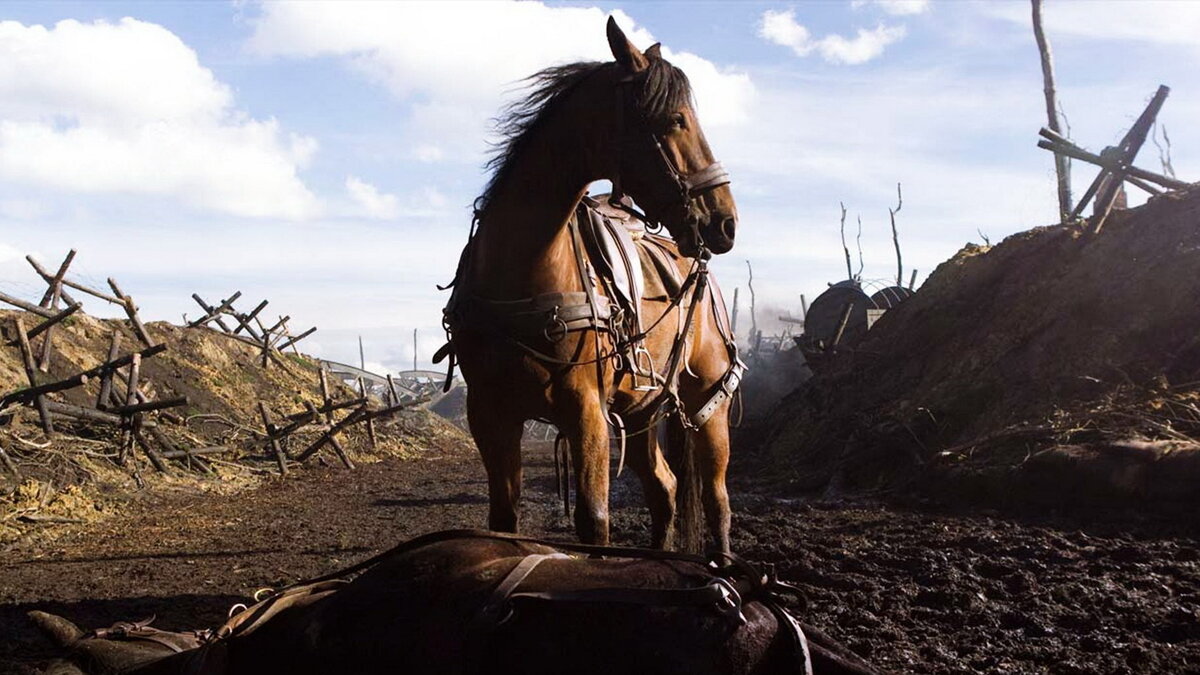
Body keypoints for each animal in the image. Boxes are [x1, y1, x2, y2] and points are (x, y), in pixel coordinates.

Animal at [439, 18, 739, 550]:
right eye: (675, 119)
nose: (724, 221)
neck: (521, 273)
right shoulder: (490, 412)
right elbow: (503, 517)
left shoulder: (587, 411)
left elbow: (593, 520)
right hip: (642, 410)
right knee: (664, 488)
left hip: (708, 402)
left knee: (716, 501)